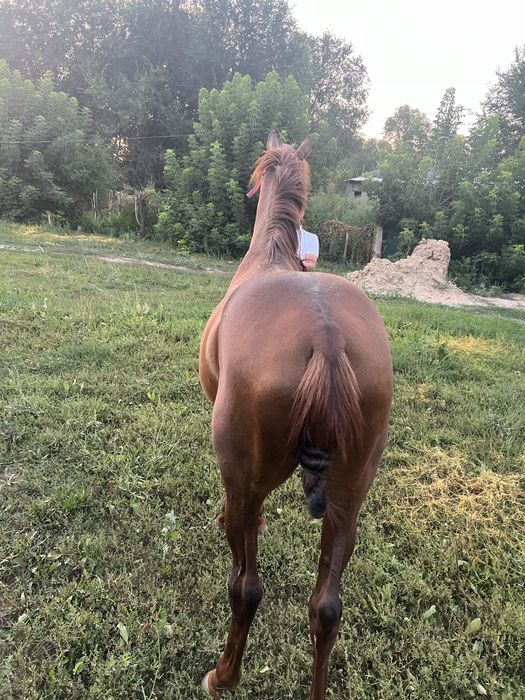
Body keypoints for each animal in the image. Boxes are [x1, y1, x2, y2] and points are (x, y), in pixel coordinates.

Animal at [199, 132, 393, 700]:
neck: (269, 253)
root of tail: (326, 337)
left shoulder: (241, 479)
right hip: (349, 496)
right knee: (326, 608)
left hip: (246, 476)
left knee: (245, 588)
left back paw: (223, 674)